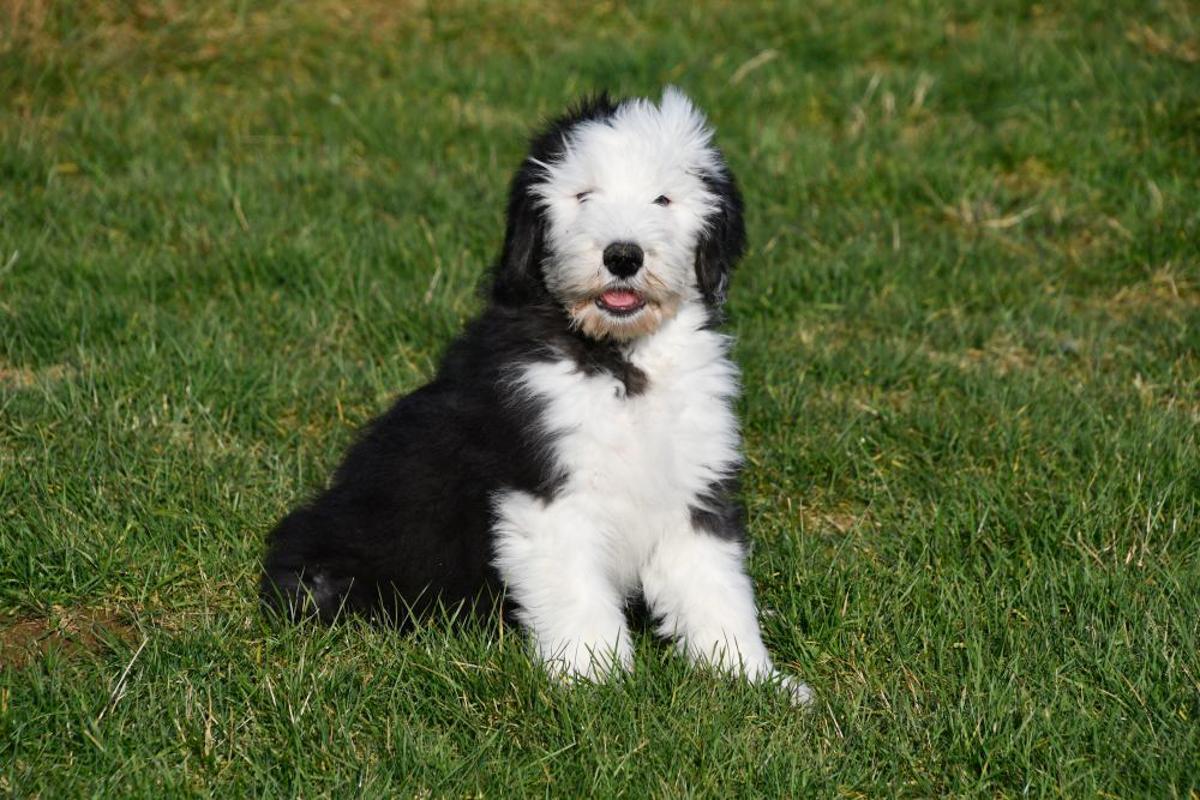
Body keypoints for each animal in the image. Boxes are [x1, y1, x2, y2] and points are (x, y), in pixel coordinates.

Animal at [261, 88, 811, 704]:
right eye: (583, 194)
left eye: (663, 198)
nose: (623, 256)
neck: (618, 362)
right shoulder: (549, 493)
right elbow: (577, 596)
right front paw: (596, 684)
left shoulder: (693, 488)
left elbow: (715, 590)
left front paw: (752, 681)